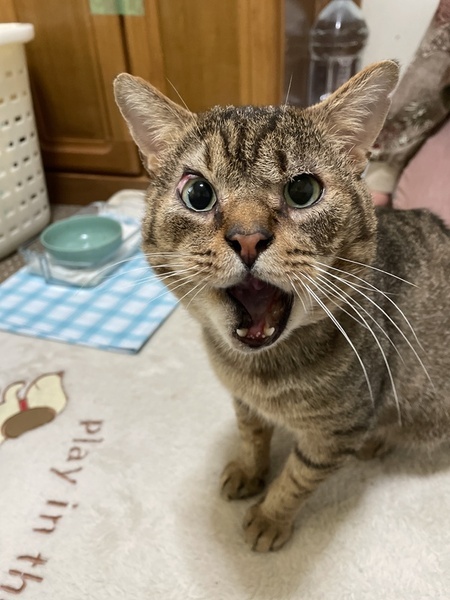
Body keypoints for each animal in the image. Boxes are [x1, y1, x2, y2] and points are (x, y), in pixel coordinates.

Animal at [114, 61, 450, 552]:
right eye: (198, 193)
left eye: (303, 190)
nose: (248, 238)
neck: (259, 375)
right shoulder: (243, 402)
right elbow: (251, 437)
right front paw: (249, 472)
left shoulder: (335, 433)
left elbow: (297, 479)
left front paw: (269, 519)